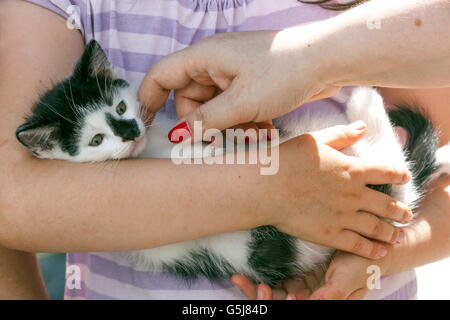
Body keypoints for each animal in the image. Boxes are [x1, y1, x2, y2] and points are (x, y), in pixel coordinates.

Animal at [15, 40, 448, 288]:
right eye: (96, 140)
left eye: (119, 107)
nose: (129, 131)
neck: (148, 150)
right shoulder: (155, 237)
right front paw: (202, 152)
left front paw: (224, 138)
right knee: (398, 174)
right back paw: (365, 98)